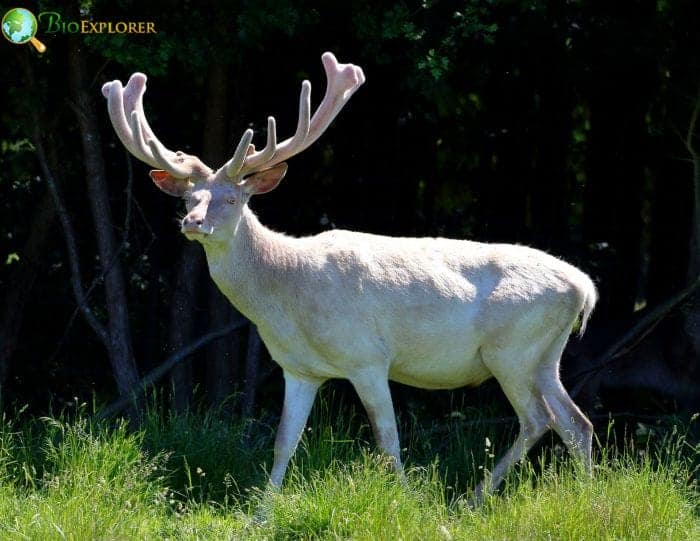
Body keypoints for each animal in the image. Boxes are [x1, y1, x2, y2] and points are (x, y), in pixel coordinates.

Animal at [102, 50, 596, 498]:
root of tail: (585, 288)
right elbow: (284, 443)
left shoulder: (368, 356)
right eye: (190, 198)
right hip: (544, 354)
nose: (192, 222)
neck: (286, 299)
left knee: (539, 417)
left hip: (511, 349)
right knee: (576, 421)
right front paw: (261, 513)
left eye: (232, 199)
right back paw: (585, 495)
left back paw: (475, 497)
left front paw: (405, 503)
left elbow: (388, 442)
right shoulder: (297, 367)